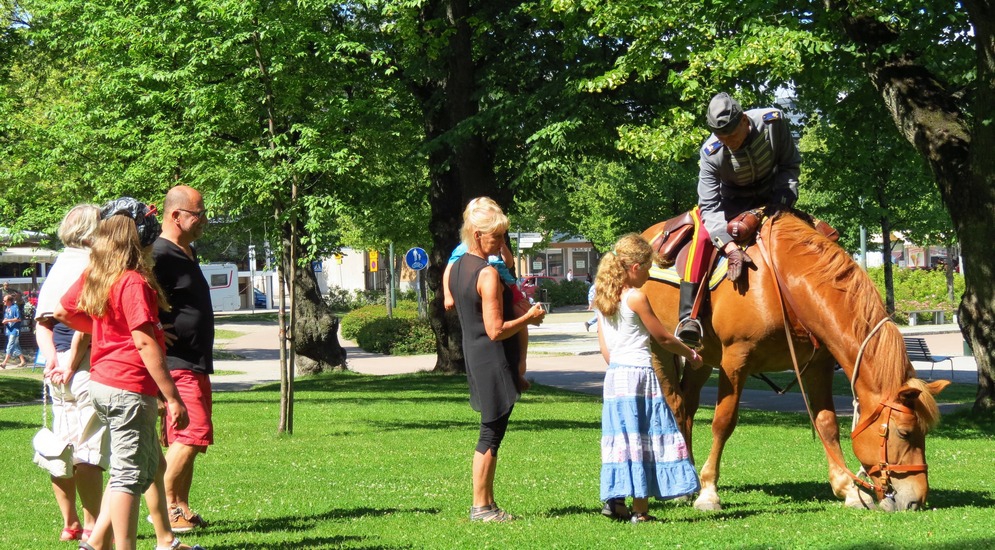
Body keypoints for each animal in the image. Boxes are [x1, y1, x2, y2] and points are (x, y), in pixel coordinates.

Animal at [644, 213, 948, 516]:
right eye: (905, 433)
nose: (916, 499)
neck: (783, 283)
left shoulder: (818, 366)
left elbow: (827, 424)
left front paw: (849, 490)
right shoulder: (735, 360)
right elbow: (723, 422)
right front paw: (709, 492)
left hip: (702, 358)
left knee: (687, 407)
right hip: (660, 347)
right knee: (676, 404)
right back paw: (686, 488)